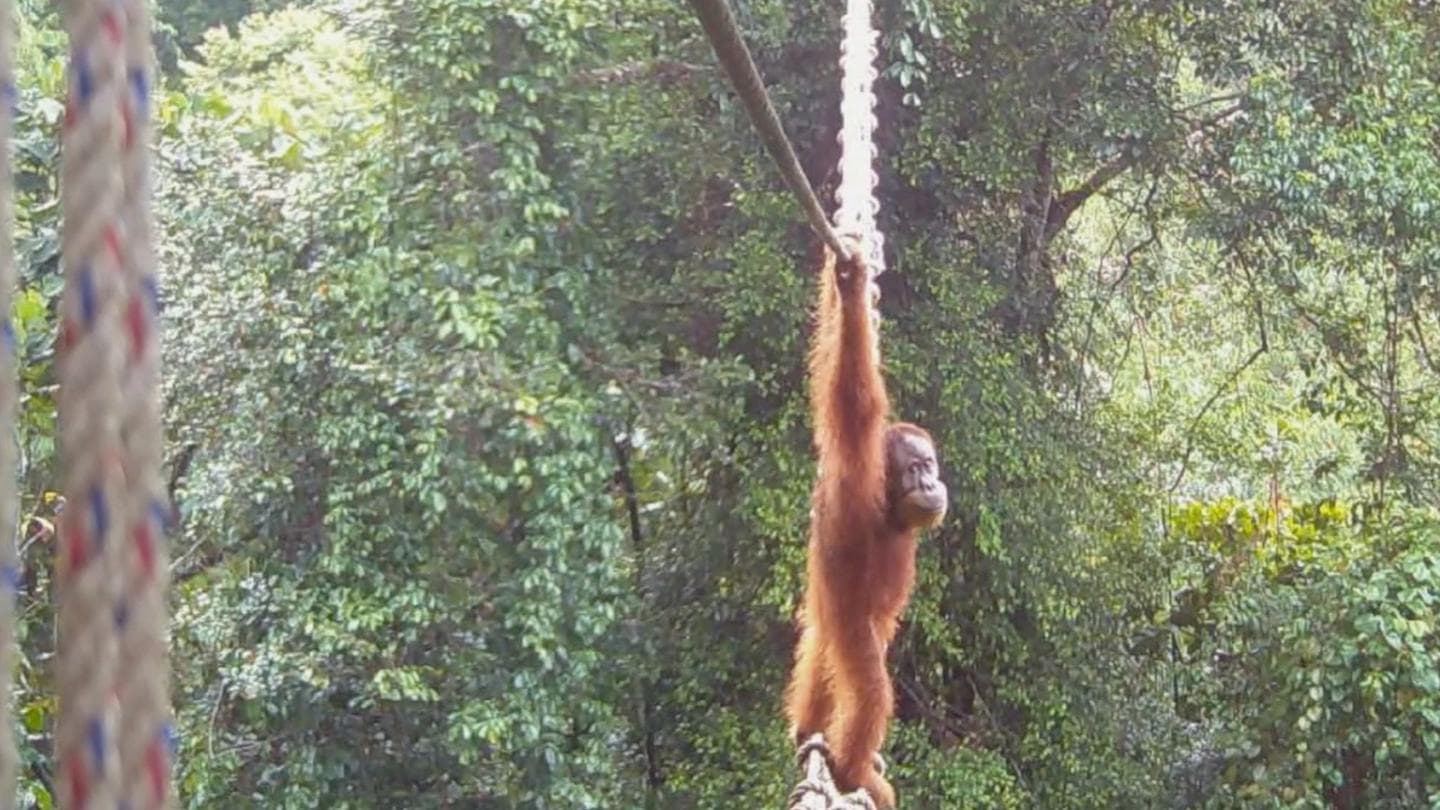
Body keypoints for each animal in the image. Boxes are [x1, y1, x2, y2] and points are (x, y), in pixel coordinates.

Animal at [784, 237, 947, 808]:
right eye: (915, 469)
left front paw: (844, 283)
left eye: (930, 466)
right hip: (849, 627)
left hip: (827, 621)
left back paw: (809, 734)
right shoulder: (858, 466)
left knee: (818, 655)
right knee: (870, 690)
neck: (890, 508)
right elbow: (853, 393)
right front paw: (852, 288)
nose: (932, 483)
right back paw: (852, 770)